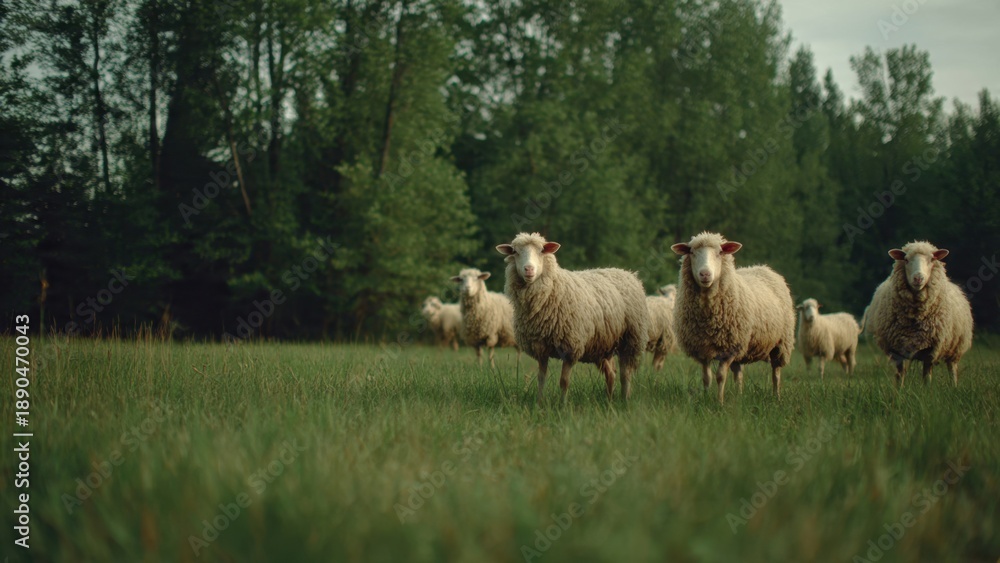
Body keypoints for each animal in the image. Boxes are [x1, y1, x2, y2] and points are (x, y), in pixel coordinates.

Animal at [496, 232, 649, 402]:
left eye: (542, 250)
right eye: (515, 252)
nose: (529, 269)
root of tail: (627, 273)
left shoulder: (570, 346)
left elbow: (564, 381)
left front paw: (562, 405)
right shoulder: (541, 348)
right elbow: (541, 378)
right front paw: (539, 403)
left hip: (631, 339)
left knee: (625, 374)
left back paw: (624, 400)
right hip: (603, 344)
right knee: (611, 374)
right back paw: (609, 401)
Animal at [671, 232, 795, 403]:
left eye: (719, 253)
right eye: (692, 252)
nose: (705, 274)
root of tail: (763, 268)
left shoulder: (728, 349)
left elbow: (720, 376)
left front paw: (719, 402)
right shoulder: (702, 348)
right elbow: (706, 378)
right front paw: (705, 399)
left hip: (781, 343)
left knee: (776, 373)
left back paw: (776, 397)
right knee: (739, 374)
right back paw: (739, 397)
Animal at [865, 241, 973, 386]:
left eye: (932, 259)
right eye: (906, 259)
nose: (918, 278)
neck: (915, 314)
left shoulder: (931, 349)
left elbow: (927, 376)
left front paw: (926, 390)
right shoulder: (898, 349)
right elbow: (900, 376)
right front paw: (898, 392)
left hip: (955, 349)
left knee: (952, 369)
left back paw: (953, 387)